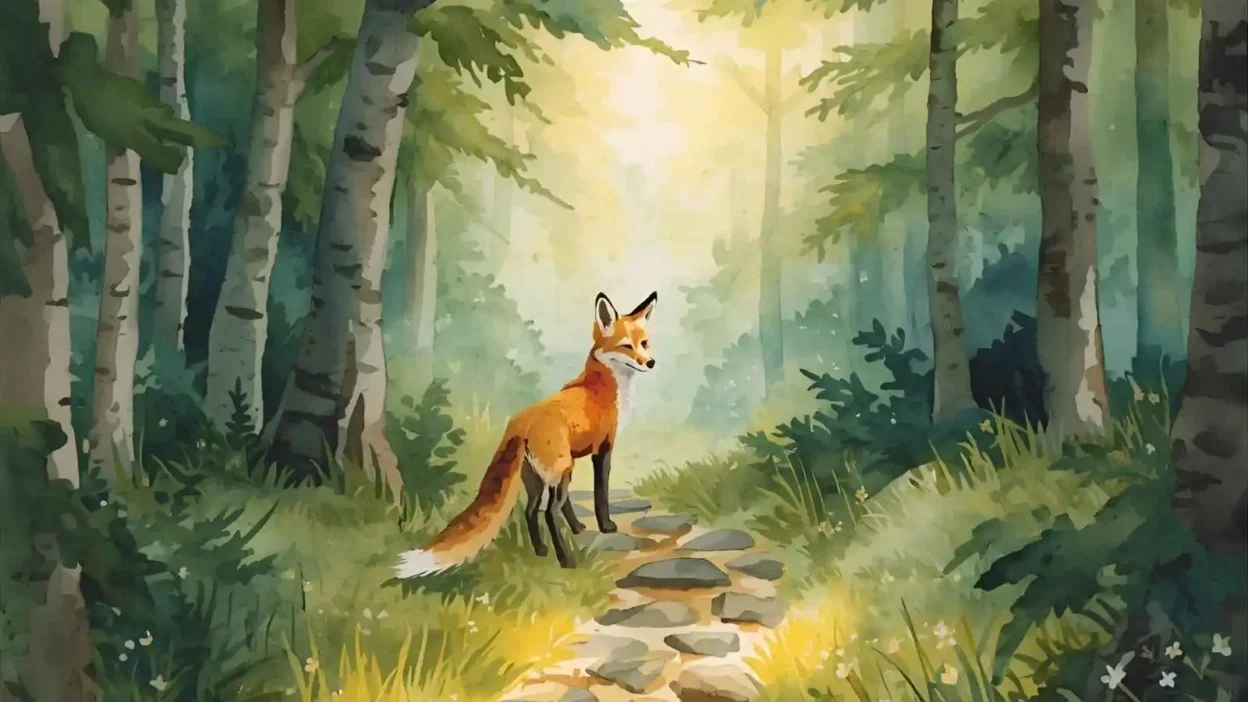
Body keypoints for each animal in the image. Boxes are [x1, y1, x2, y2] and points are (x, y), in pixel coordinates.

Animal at [394, 291, 659, 576]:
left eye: (644, 343)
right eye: (626, 346)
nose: (651, 363)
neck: (604, 385)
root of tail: (521, 421)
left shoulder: (569, 464)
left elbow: (568, 504)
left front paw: (577, 528)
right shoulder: (602, 449)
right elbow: (600, 494)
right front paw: (605, 526)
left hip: (537, 478)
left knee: (531, 511)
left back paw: (541, 550)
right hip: (557, 471)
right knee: (548, 513)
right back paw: (566, 560)